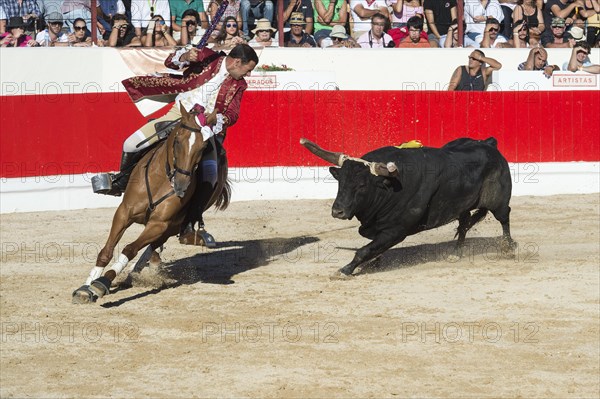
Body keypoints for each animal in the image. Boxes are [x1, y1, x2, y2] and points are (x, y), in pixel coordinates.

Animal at [71, 104, 230, 304]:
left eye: (202, 147)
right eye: (178, 141)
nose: (181, 185)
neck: (161, 179)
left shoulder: (158, 224)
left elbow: (130, 248)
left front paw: (101, 284)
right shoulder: (123, 213)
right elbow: (106, 251)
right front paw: (86, 288)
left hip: (170, 227)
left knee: (154, 245)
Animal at [300, 136, 516, 276]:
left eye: (362, 185)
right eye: (340, 181)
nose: (337, 211)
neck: (388, 188)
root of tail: (488, 144)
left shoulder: (396, 230)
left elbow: (364, 249)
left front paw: (346, 269)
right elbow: (371, 245)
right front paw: (370, 263)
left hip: (499, 201)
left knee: (504, 218)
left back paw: (509, 248)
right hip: (461, 206)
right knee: (463, 225)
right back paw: (455, 254)